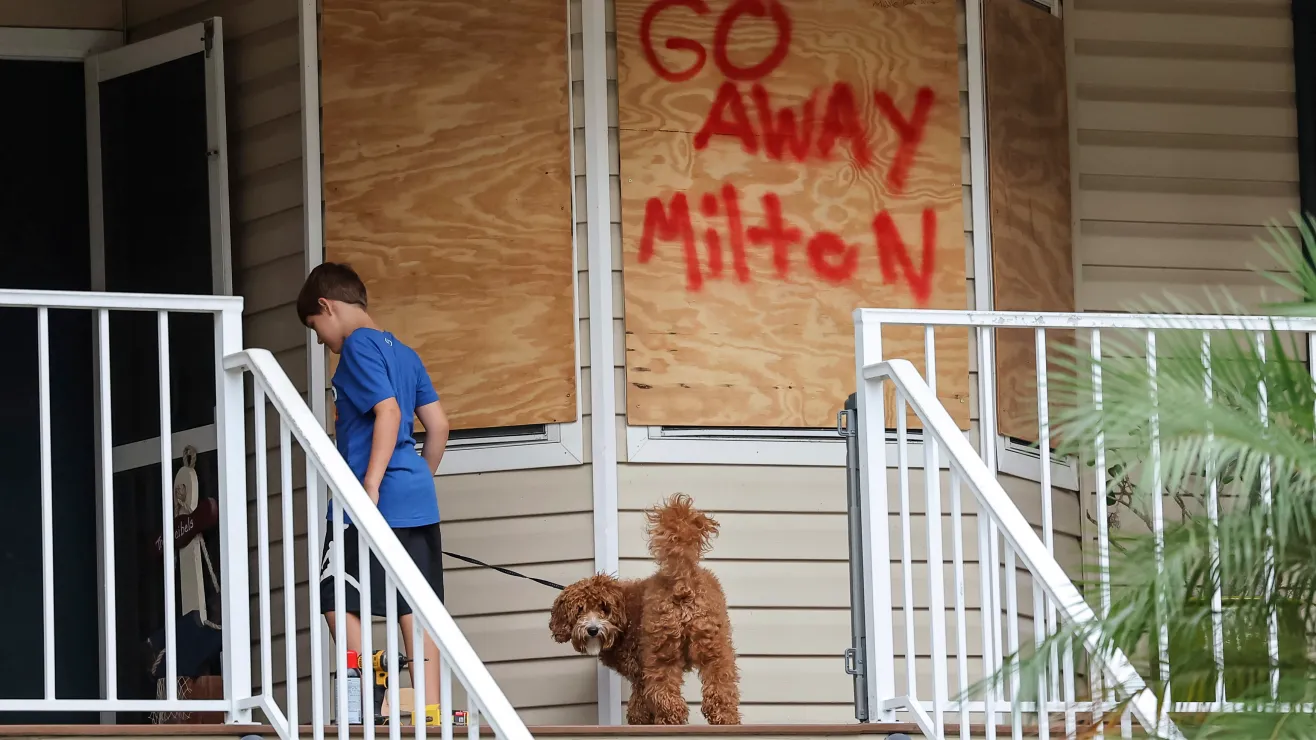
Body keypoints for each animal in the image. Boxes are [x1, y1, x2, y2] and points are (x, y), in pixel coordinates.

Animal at [547, 492, 742, 721]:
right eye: (579, 610)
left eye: (604, 608)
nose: (592, 630)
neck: (623, 620)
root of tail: (682, 579)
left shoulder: (639, 672)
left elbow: (638, 708)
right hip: (712, 642)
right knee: (721, 683)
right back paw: (725, 717)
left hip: (660, 648)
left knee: (665, 693)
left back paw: (670, 719)